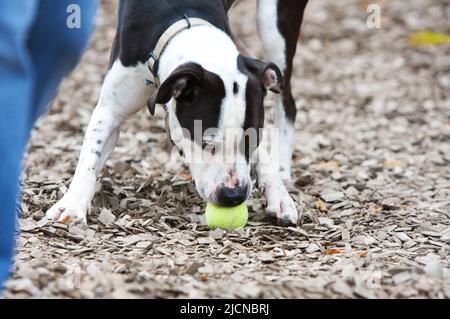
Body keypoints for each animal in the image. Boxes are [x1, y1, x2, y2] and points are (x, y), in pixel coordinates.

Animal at [47, 0, 312, 225]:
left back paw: (283, 169)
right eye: (206, 144)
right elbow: (90, 156)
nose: (233, 195)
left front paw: (278, 193)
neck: (184, 20)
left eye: (252, 140)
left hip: (275, 23)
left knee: (287, 101)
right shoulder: (110, 109)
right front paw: (72, 204)